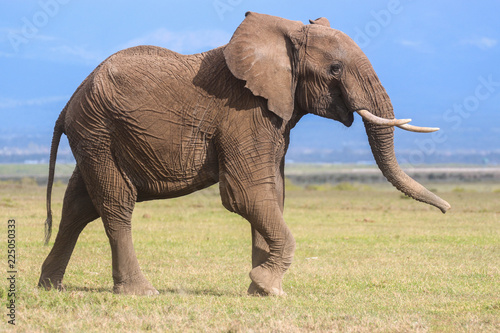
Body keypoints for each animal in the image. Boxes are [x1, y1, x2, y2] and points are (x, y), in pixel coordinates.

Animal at [39, 11, 450, 294]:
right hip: (98, 130)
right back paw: (141, 292)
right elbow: (246, 194)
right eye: (335, 68)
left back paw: (49, 287)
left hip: (95, 134)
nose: (446, 210)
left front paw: (262, 290)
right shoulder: (243, 112)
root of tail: (69, 102)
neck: (285, 33)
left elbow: (273, 193)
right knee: (115, 203)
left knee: (78, 205)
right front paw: (267, 284)